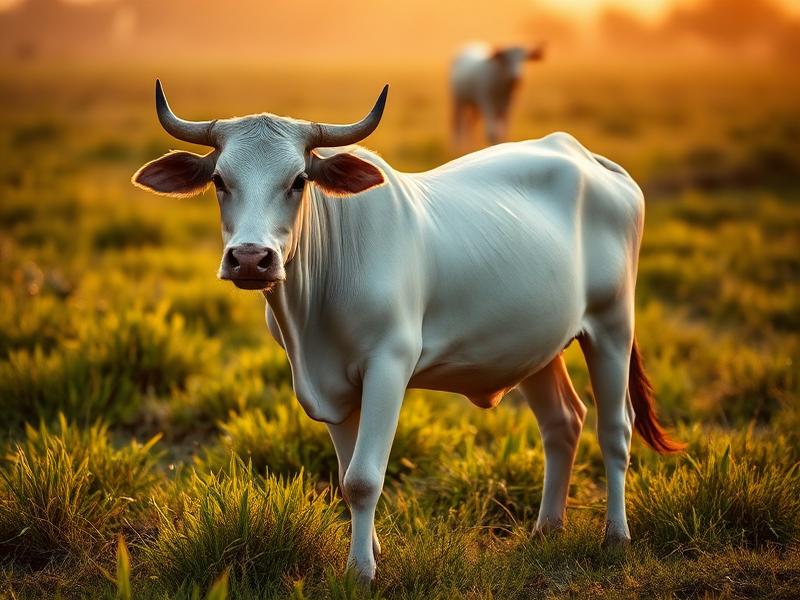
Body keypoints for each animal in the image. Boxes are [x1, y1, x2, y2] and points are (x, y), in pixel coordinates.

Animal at [132, 80, 682, 583]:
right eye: (220, 181)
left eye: (298, 180)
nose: (250, 258)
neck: (312, 307)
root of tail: (590, 158)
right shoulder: (329, 385)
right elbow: (345, 474)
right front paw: (370, 551)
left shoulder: (388, 365)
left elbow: (363, 477)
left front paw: (360, 571)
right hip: (537, 346)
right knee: (563, 422)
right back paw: (547, 528)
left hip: (613, 324)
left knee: (616, 429)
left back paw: (616, 536)